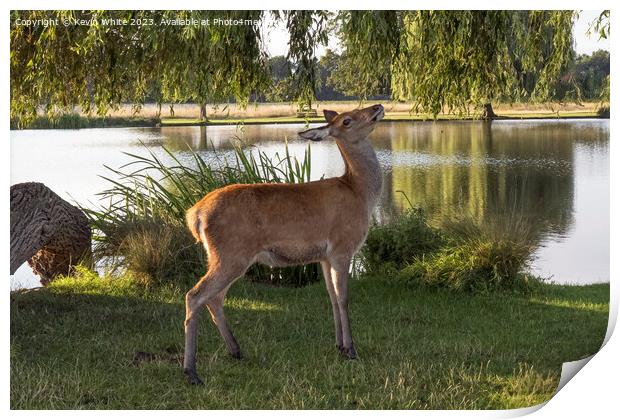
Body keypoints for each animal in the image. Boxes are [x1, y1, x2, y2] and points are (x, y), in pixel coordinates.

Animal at [184, 104, 386, 384]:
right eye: (347, 120)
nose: (377, 107)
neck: (359, 193)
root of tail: (195, 214)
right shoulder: (342, 247)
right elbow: (344, 298)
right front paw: (351, 349)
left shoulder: (323, 256)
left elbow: (332, 297)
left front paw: (339, 345)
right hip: (231, 253)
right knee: (195, 295)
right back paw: (191, 371)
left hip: (222, 256)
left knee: (214, 298)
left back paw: (236, 350)